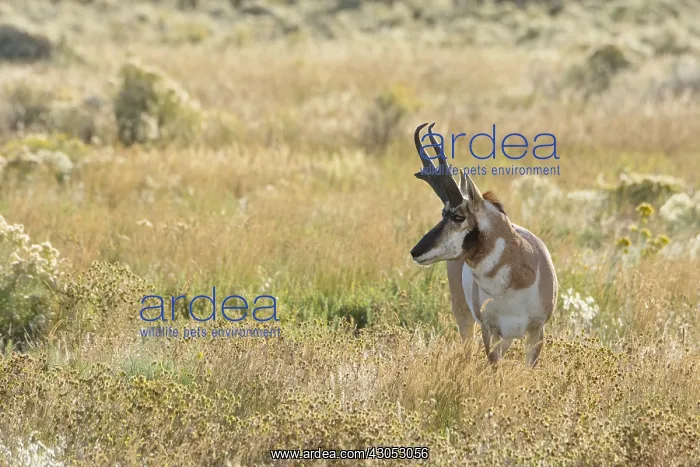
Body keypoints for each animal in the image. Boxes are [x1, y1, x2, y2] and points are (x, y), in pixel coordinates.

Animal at [409, 122, 558, 366]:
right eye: (442, 213)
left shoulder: (537, 330)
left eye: (458, 216)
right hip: (465, 317)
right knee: (467, 352)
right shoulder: (490, 330)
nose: (415, 252)